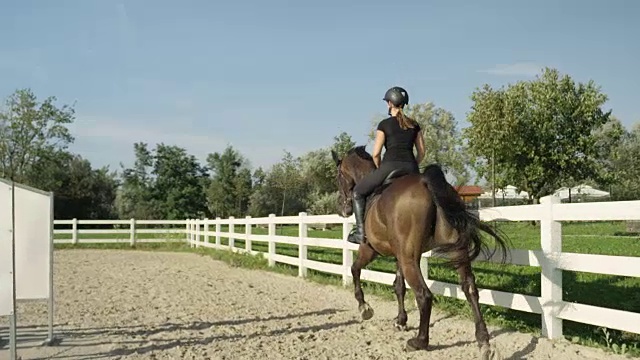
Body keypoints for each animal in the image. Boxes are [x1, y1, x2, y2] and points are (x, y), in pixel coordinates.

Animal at [332, 146, 508, 358]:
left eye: (338, 176)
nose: (342, 208)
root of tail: (425, 182)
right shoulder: (398, 256)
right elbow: (398, 286)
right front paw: (401, 321)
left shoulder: (370, 250)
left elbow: (355, 269)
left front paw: (364, 307)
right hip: (456, 251)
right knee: (470, 289)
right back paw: (484, 342)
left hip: (409, 258)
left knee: (424, 295)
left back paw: (419, 341)